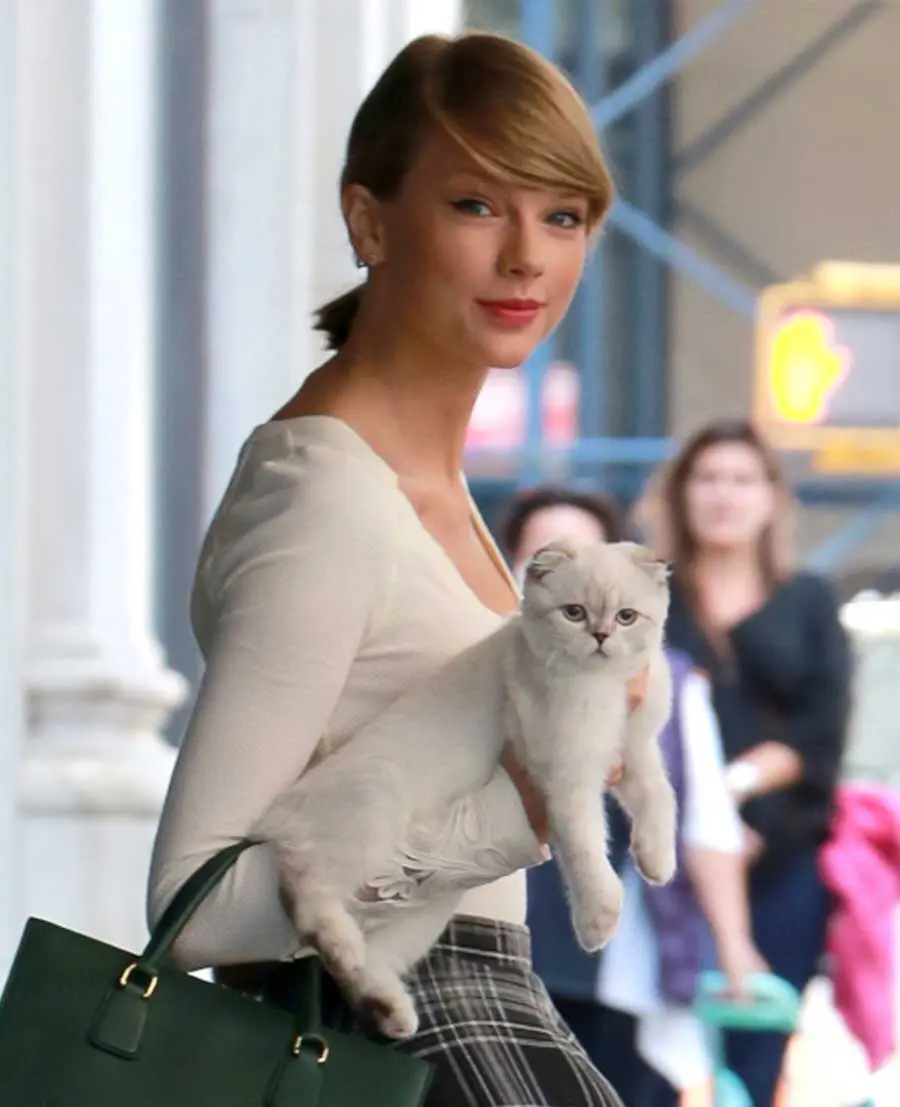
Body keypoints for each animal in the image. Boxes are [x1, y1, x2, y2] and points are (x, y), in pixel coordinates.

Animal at [252, 540, 673, 1040]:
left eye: (627, 617)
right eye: (574, 613)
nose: (601, 635)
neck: (604, 690)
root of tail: (286, 806)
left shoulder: (634, 749)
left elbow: (660, 798)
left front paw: (657, 861)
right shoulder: (565, 778)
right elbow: (591, 859)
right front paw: (597, 925)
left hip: (428, 906)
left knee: (373, 960)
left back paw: (389, 1010)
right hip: (374, 820)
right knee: (305, 889)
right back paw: (344, 946)